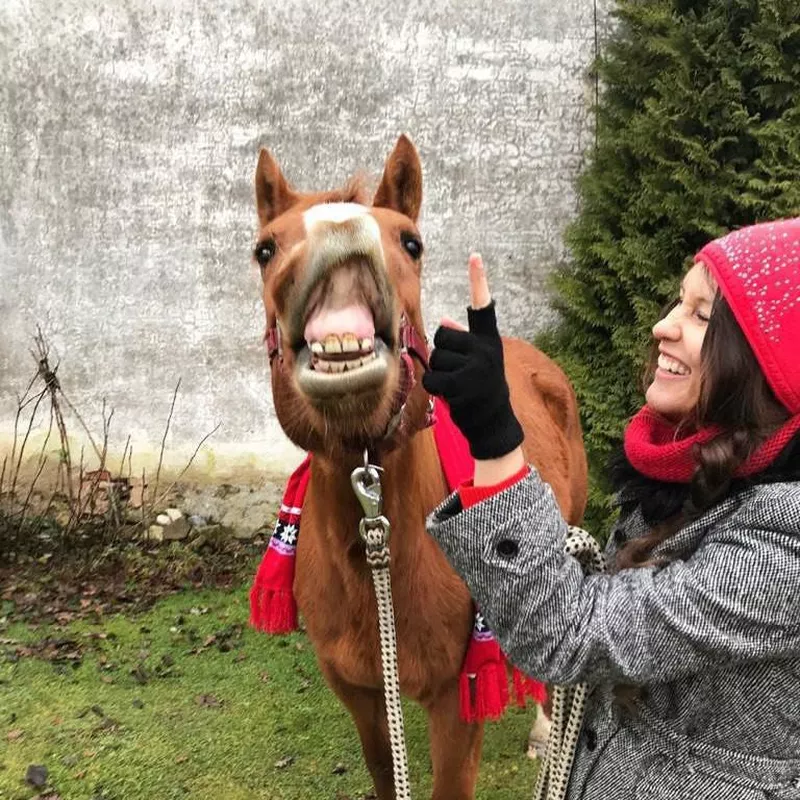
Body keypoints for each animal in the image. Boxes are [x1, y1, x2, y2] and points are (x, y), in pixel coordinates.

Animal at [250, 134, 588, 796]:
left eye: (411, 241)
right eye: (264, 249)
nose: (340, 230)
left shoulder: (454, 701)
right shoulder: (360, 694)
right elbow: (386, 770)